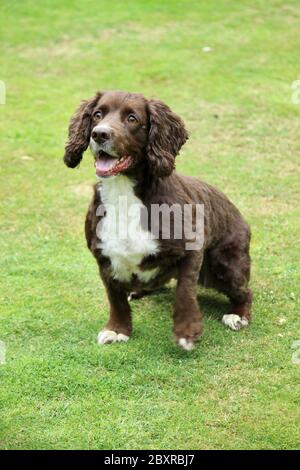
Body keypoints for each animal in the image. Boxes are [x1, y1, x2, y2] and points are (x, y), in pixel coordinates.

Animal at [63, 91, 253, 348]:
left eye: (132, 118)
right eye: (97, 114)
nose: (99, 134)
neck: (124, 193)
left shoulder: (192, 248)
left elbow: (185, 290)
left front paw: (186, 330)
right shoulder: (103, 256)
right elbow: (115, 298)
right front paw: (117, 329)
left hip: (224, 262)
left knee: (244, 292)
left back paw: (238, 314)